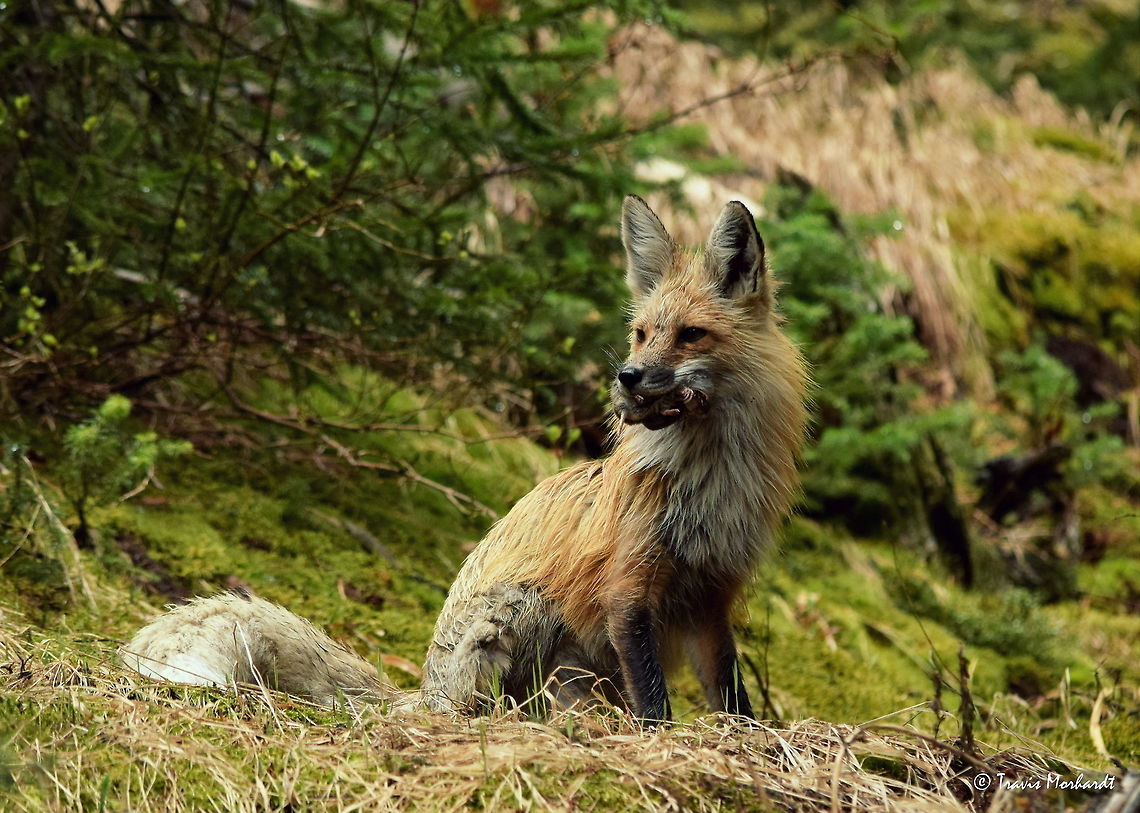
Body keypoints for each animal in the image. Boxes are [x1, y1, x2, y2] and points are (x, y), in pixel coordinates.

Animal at [122, 196, 808, 724]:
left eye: (690, 335)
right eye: (641, 334)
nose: (628, 378)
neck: (708, 482)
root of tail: (424, 691)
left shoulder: (711, 598)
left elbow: (734, 697)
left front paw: (752, 744)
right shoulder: (629, 591)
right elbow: (655, 705)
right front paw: (659, 744)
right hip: (523, 614)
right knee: (496, 709)